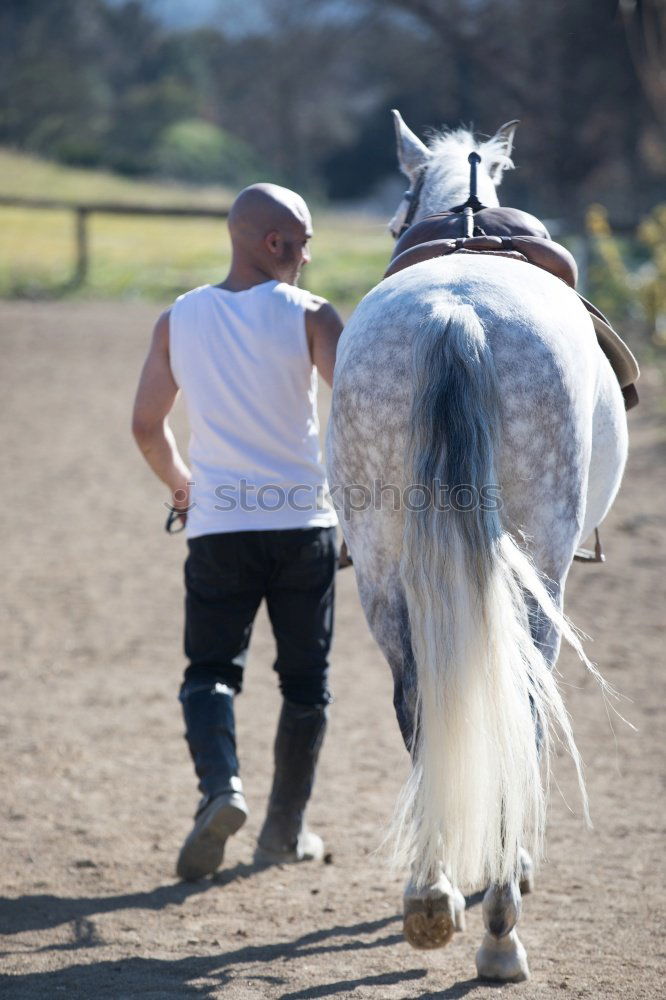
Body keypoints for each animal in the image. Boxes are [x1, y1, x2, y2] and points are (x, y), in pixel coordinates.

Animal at [324, 113, 624, 980]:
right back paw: (499, 922)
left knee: (421, 705)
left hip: (382, 571)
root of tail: (457, 314)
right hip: (541, 572)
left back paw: (432, 897)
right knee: (520, 706)